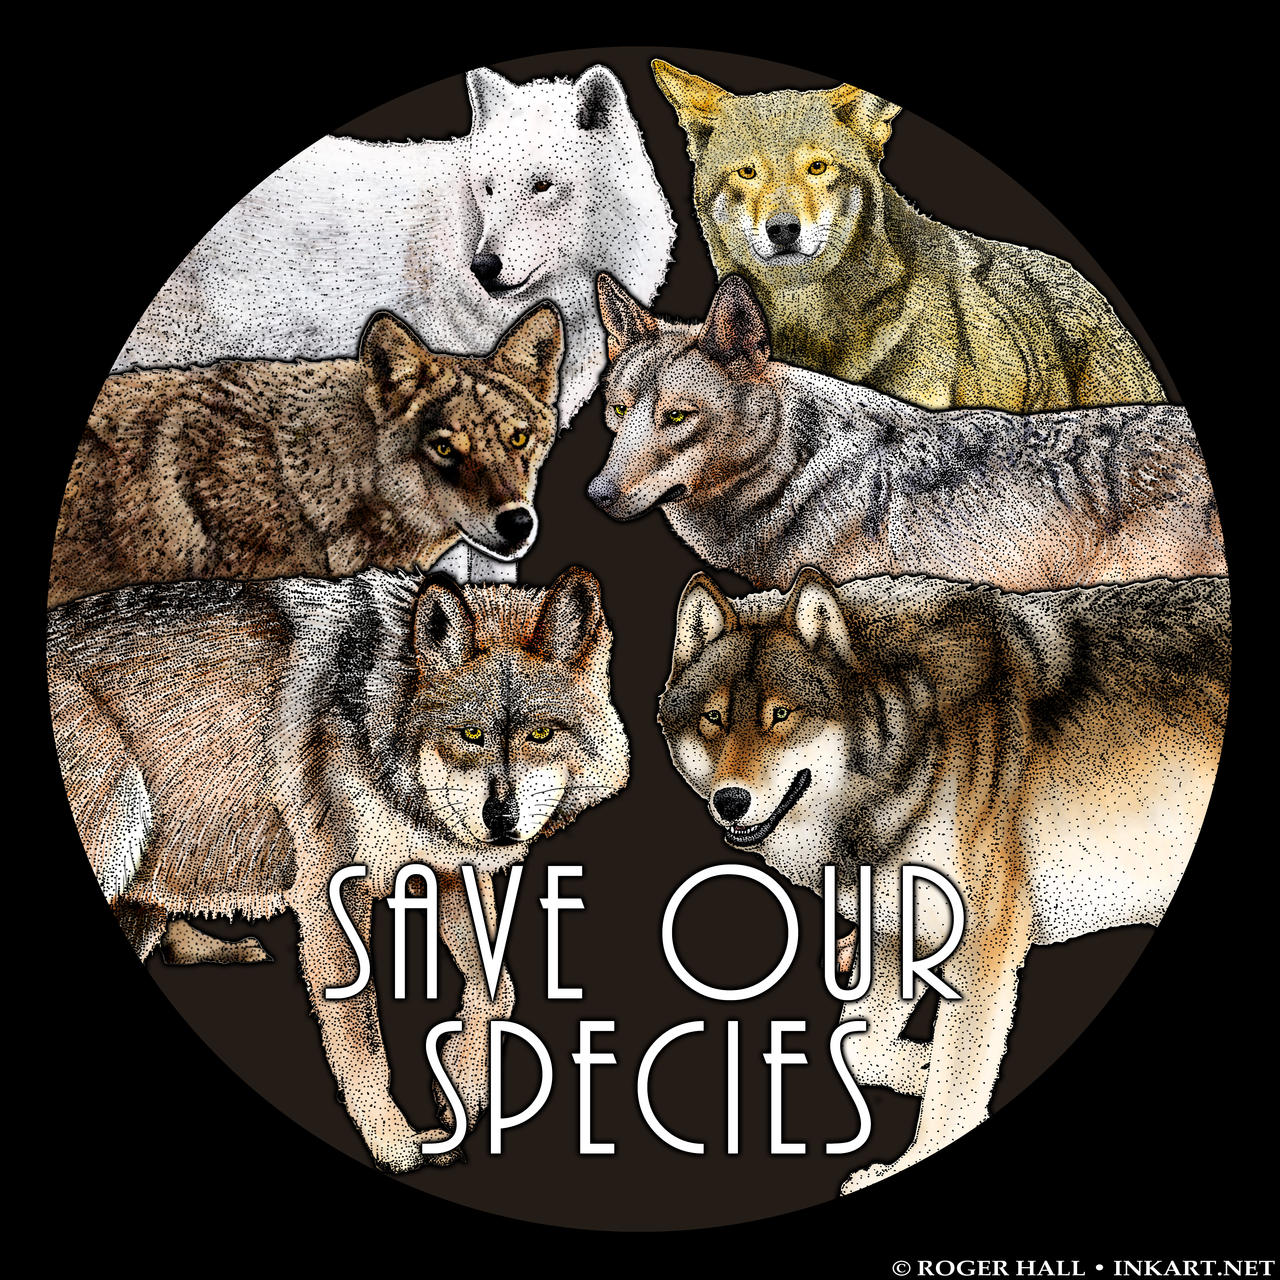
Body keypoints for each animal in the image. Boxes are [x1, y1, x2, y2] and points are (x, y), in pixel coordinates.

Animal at [48, 566, 629, 1172]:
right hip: (121, 828)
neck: (380, 709)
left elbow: (498, 990)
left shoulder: (447, 873)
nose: (501, 818)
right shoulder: (329, 896)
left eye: (540, 734)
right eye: (471, 735)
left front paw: (460, 1093)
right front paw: (396, 1145)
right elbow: (362, 1039)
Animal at [657, 565, 1229, 1193]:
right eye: (713, 719)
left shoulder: (984, 941)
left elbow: (951, 1090)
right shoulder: (894, 932)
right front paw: (925, 1060)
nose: (730, 801)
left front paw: (908, 1156)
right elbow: (857, 1050)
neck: (914, 741)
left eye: (781, 716)